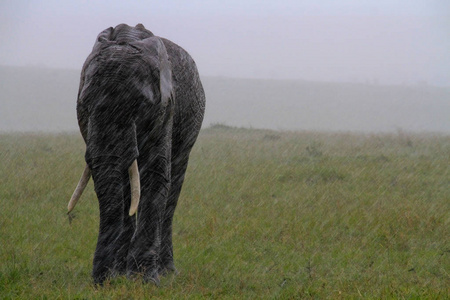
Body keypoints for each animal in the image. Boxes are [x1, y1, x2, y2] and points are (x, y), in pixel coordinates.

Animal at [67, 22, 206, 284]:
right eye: (84, 103)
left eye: (141, 105)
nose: (100, 282)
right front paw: (114, 278)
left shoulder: (166, 109)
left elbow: (154, 175)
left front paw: (146, 281)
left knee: (173, 184)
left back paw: (166, 271)